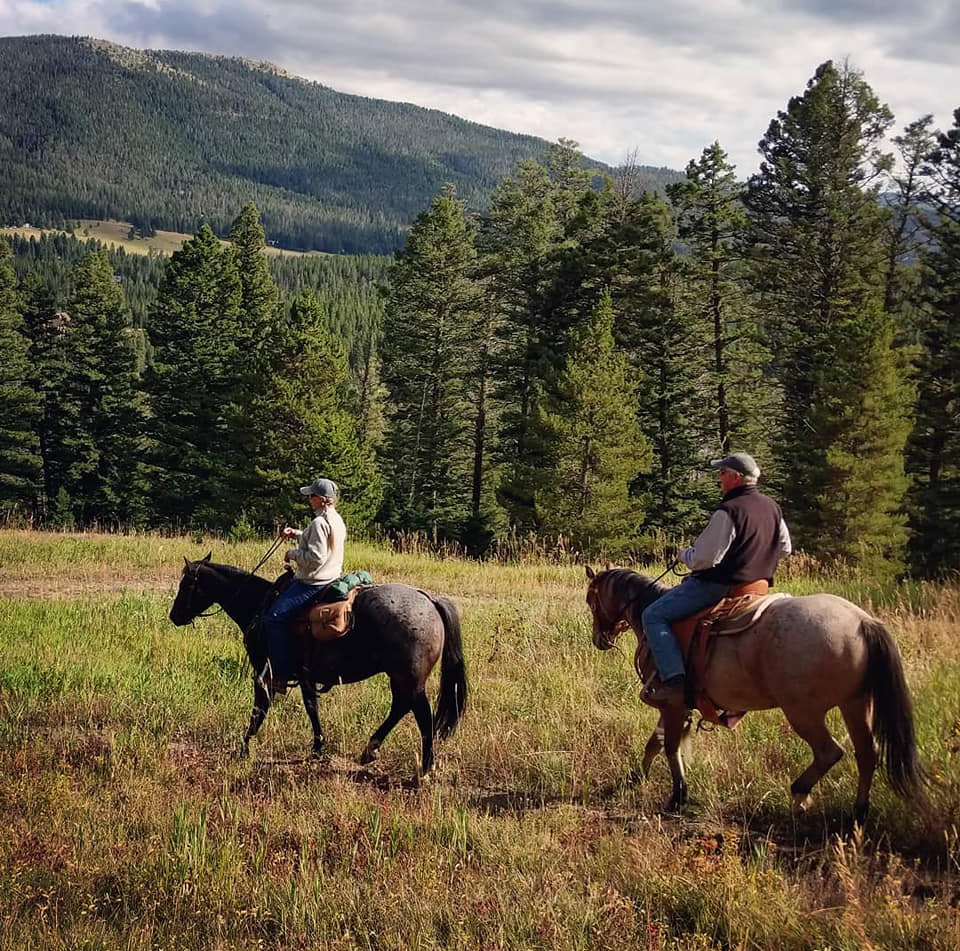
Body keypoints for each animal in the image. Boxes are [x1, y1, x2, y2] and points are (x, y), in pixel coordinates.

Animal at [170, 556, 468, 776]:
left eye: (186, 585)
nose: (174, 616)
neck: (259, 605)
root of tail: (429, 599)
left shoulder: (264, 672)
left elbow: (260, 709)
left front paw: (244, 748)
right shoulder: (305, 676)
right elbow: (312, 706)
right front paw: (317, 747)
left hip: (408, 678)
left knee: (421, 715)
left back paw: (425, 768)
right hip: (402, 678)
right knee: (401, 707)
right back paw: (371, 750)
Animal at [580, 564, 928, 820]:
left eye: (590, 599)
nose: (599, 639)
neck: (650, 613)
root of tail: (862, 620)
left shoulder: (672, 703)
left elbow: (669, 747)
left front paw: (678, 795)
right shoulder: (677, 707)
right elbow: (655, 743)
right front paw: (635, 779)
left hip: (804, 712)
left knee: (830, 752)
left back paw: (800, 793)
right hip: (854, 704)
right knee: (866, 753)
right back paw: (858, 811)